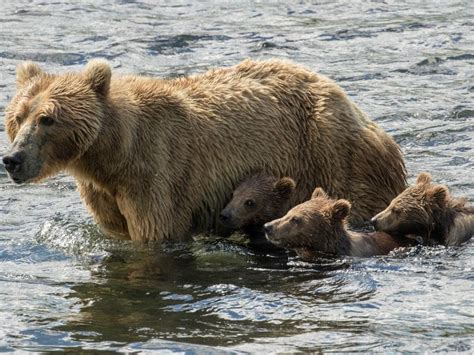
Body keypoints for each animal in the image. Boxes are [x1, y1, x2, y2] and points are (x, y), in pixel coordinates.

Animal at [1, 59, 406, 242]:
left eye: (47, 118)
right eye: (17, 117)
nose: (12, 160)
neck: (112, 156)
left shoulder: (157, 172)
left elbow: (157, 233)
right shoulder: (106, 193)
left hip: (333, 155)